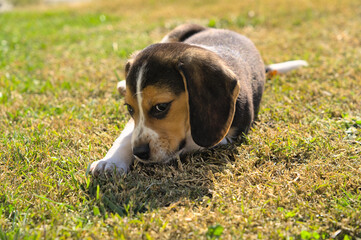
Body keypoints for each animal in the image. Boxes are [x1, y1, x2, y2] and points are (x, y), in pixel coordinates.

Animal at [88, 23, 306, 174]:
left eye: (161, 107)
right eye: (130, 109)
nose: (139, 152)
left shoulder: (226, 136)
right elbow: (128, 134)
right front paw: (110, 162)